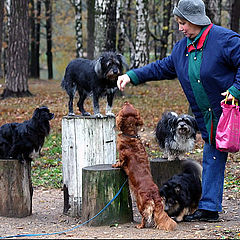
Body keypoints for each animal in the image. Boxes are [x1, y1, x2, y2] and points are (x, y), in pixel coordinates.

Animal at [112, 101, 176, 231]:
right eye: (130, 106)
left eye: (124, 107)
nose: (126, 101)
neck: (130, 135)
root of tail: (154, 194)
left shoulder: (122, 155)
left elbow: (120, 162)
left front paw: (114, 164)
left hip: (140, 203)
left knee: (145, 216)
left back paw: (140, 225)